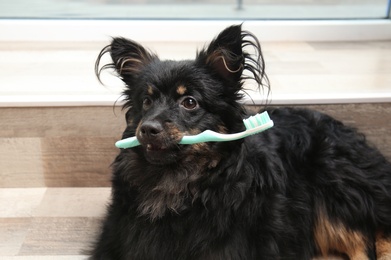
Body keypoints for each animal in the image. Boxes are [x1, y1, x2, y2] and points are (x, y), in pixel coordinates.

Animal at [92, 24, 391, 260]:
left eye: (189, 102)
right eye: (146, 101)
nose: (147, 128)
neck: (178, 182)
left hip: (335, 183)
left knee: (371, 233)